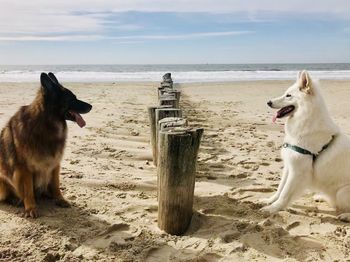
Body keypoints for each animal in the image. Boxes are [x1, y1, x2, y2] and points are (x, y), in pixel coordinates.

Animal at [0, 71, 91, 217]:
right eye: (72, 99)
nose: (91, 106)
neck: (45, 123)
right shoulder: (24, 169)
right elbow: (28, 190)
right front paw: (31, 208)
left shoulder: (55, 164)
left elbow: (56, 185)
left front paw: (59, 199)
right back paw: (15, 199)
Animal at [262, 70, 350, 221]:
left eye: (288, 95)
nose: (268, 102)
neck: (305, 120)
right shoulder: (289, 166)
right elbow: (280, 188)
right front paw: (270, 201)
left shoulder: (298, 171)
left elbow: (285, 193)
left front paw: (273, 208)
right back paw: (321, 197)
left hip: (343, 192)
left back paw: (345, 215)